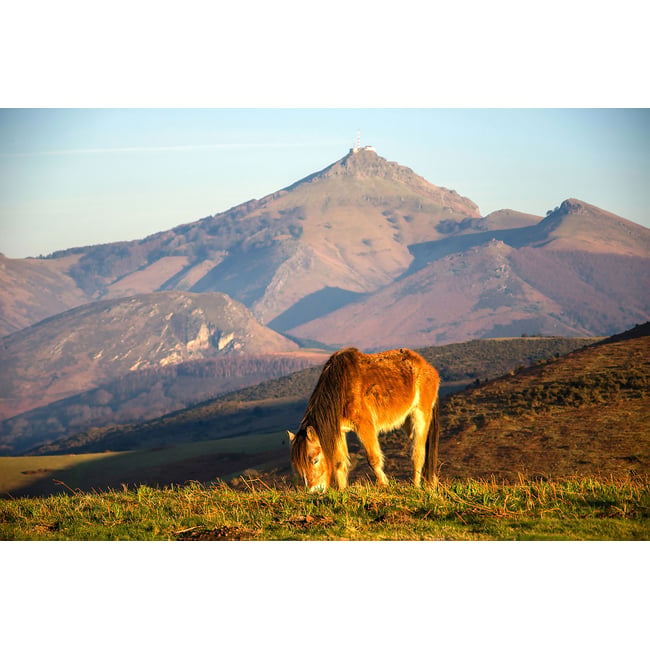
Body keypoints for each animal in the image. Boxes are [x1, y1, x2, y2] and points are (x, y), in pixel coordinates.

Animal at [287, 347, 440, 491]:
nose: (314, 491)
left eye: (315, 460)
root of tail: (429, 368)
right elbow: (339, 463)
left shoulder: (365, 425)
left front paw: (384, 485)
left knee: (418, 453)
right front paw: (342, 491)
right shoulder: (339, 431)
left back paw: (416, 486)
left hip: (420, 415)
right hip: (408, 423)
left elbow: (373, 459)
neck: (341, 388)